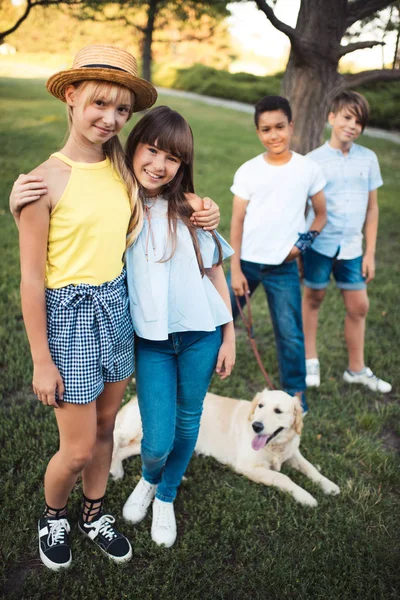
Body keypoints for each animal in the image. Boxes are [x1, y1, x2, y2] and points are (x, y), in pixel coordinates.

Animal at [111, 390, 340, 506]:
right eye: (260, 406)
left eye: (278, 411)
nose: (256, 426)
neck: (276, 445)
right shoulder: (247, 467)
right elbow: (283, 477)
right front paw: (306, 497)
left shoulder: (292, 453)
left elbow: (311, 468)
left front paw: (329, 485)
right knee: (117, 442)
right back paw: (116, 470)